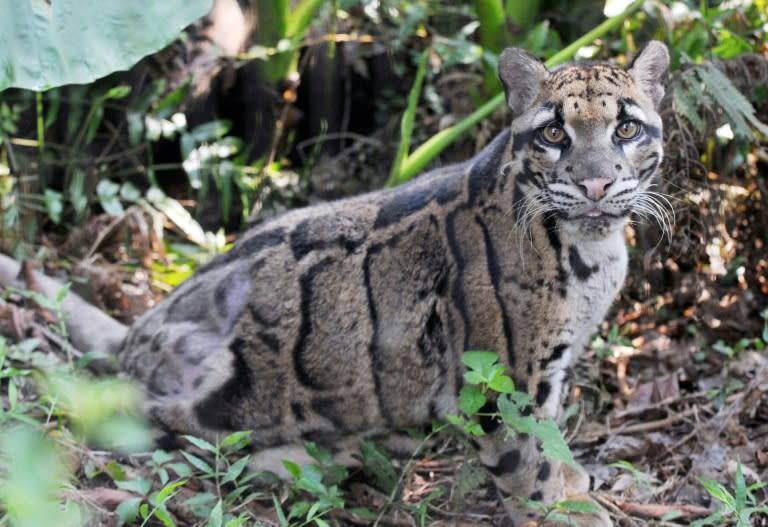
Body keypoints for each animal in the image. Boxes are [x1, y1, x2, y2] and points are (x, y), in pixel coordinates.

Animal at [0, 40, 668, 524]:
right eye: (554, 133)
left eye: (626, 130)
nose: (595, 183)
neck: (591, 249)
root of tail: (140, 325)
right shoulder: (501, 383)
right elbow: (527, 458)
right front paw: (564, 509)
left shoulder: (551, 369)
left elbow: (552, 437)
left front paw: (574, 482)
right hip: (223, 385)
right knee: (147, 417)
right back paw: (299, 455)